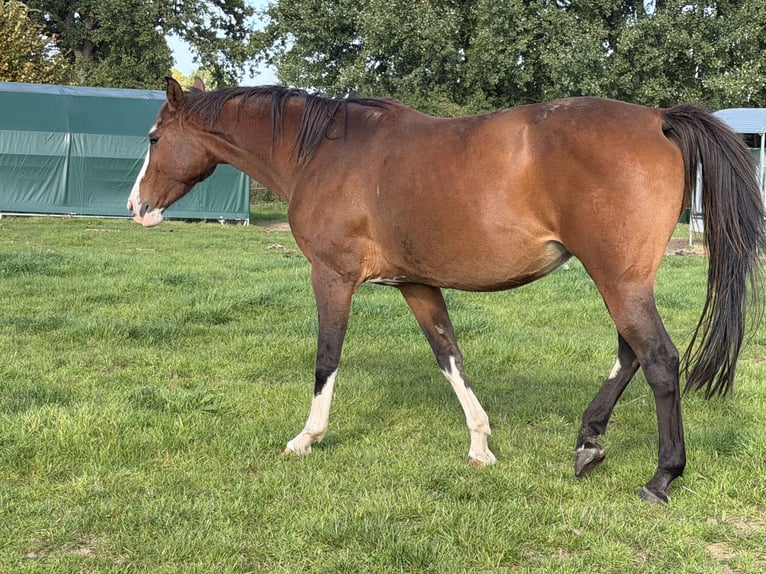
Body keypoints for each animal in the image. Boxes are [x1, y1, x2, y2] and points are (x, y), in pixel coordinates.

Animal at [128, 77, 764, 503]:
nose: (136, 207)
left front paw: (308, 437)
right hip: (623, 280)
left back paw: (661, 476)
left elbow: (327, 358)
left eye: (155, 137)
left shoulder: (331, 277)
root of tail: (657, 118)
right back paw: (589, 441)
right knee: (631, 354)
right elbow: (448, 355)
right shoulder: (417, 283)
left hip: (619, 279)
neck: (325, 152)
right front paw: (480, 445)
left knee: (657, 359)